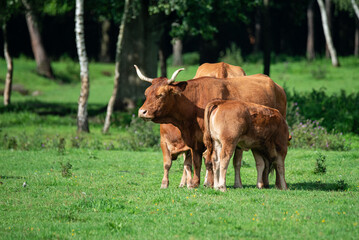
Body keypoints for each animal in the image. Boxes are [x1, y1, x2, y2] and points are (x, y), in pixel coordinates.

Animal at [135, 65, 286, 188]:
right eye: (146, 93)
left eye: (161, 94)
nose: (142, 112)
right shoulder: (194, 141)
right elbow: (196, 162)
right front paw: (194, 183)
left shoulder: (208, 140)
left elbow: (209, 161)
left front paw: (209, 183)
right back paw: (264, 183)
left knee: (247, 162)